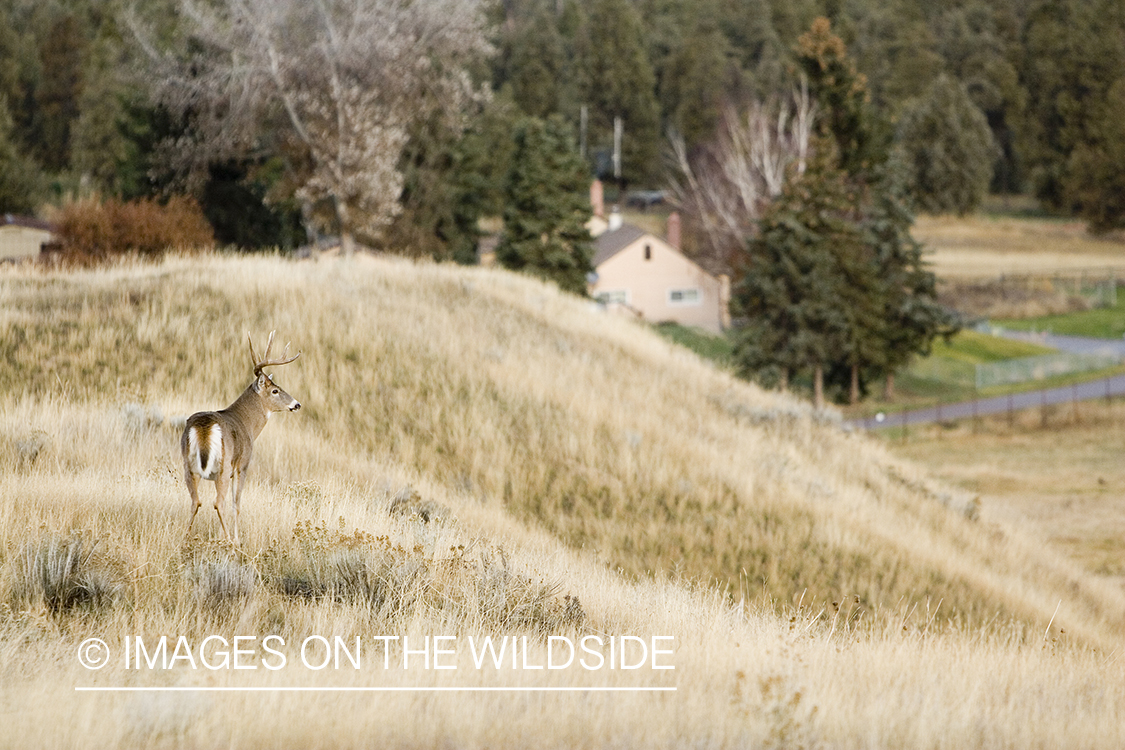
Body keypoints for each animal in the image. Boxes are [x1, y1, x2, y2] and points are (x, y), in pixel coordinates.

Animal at [181, 330, 301, 541]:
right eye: (275, 390)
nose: (296, 404)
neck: (248, 424)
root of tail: (204, 426)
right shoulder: (242, 465)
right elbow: (236, 505)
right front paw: (235, 538)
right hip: (223, 464)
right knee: (217, 503)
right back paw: (230, 541)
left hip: (188, 465)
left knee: (196, 501)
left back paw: (186, 539)